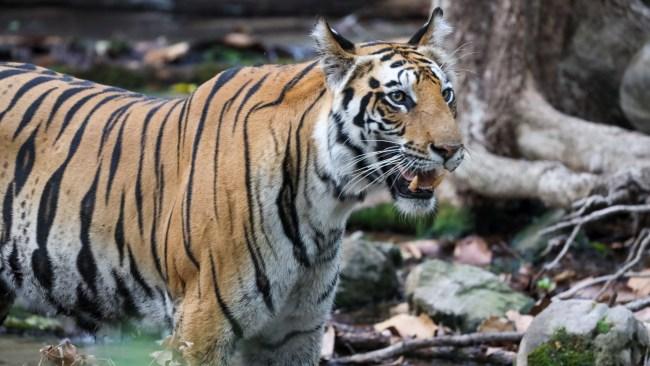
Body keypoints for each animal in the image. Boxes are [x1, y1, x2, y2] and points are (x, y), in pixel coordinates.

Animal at [0, 8, 460, 366]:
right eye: (399, 98)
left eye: (448, 95)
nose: (453, 149)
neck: (324, 204)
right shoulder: (202, 326)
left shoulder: (295, 333)